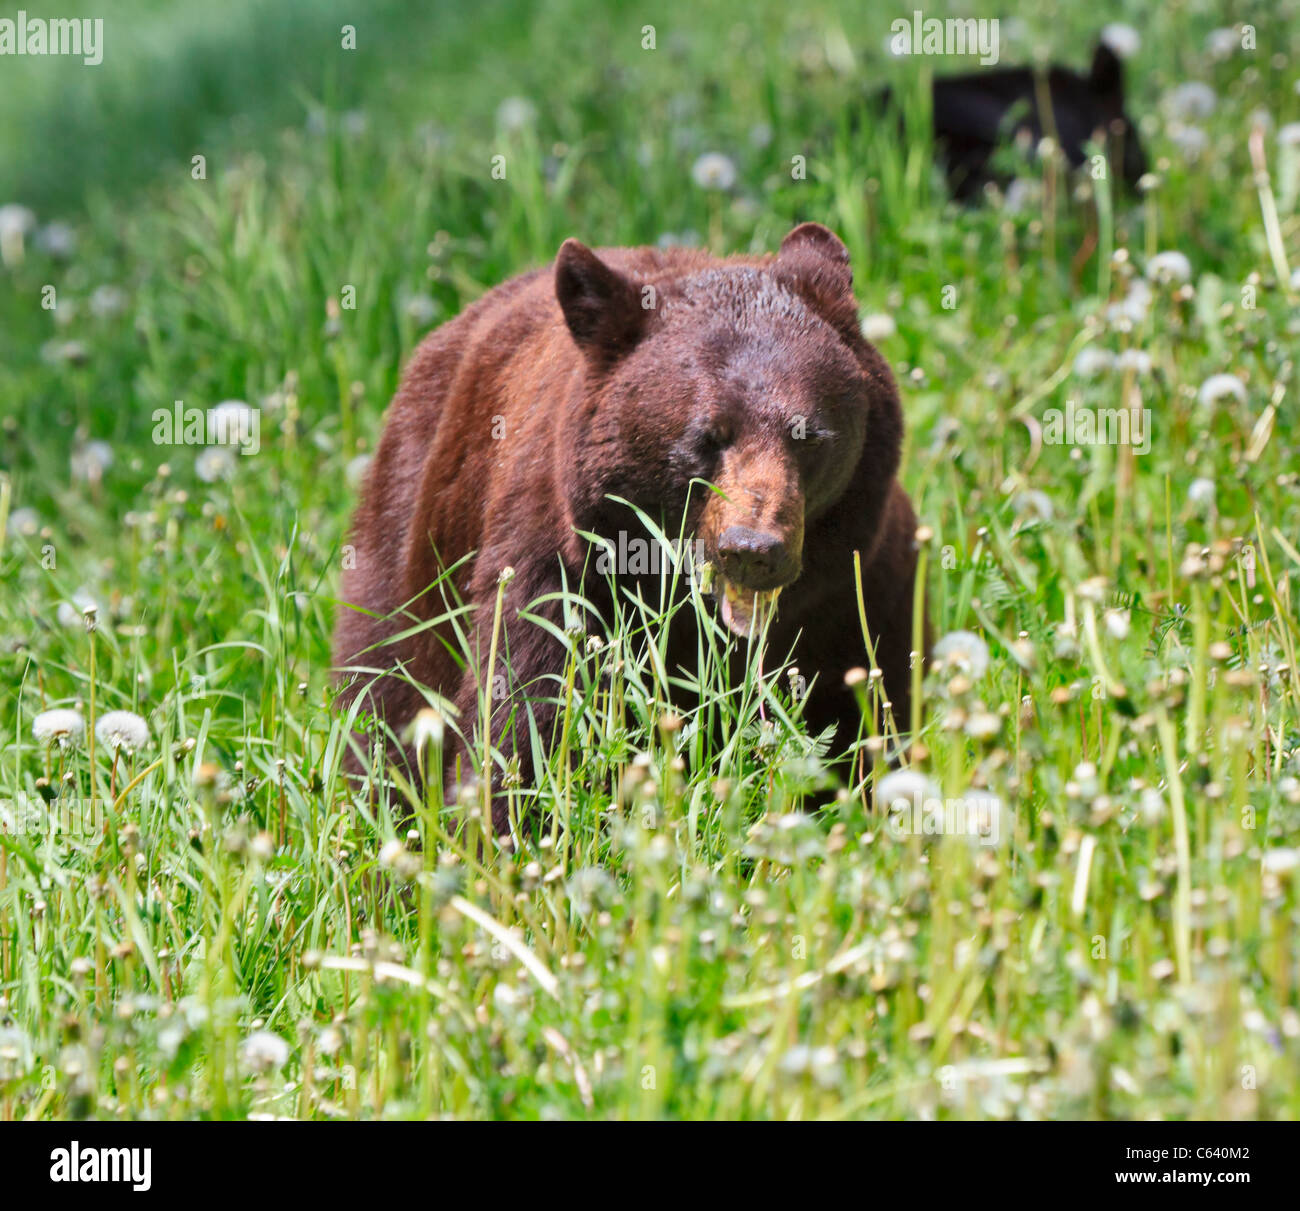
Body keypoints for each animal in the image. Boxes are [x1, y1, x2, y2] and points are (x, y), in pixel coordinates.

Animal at [333, 222, 923, 830]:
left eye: (809, 437)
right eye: (707, 437)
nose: (753, 549)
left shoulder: (862, 591)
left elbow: (867, 714)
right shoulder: (558, 570)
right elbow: (528, 716)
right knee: (384, 692)